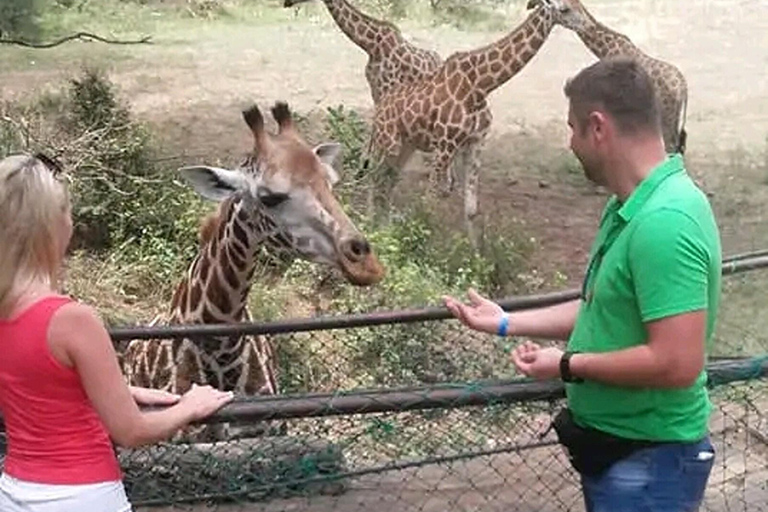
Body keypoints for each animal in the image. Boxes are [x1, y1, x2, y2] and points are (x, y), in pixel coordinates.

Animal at [364, 6, 556, 240]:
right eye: (565, 9)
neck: (479, 86)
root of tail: (379, 110)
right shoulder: (445, 144)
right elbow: (429, 200)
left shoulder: (474, 143)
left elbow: (471, 209)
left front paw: (472, 249)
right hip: (388, 143)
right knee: (376, 178)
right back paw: (372, 226)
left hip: (405, 145)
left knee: (388, 180)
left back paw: (384, 227)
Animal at [528, 0, 688, 154]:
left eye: (565, 9)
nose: (586, 25)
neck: (608, 49)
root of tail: (683, 87)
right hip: (673, 119)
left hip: (667, 116)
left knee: (670, 145)